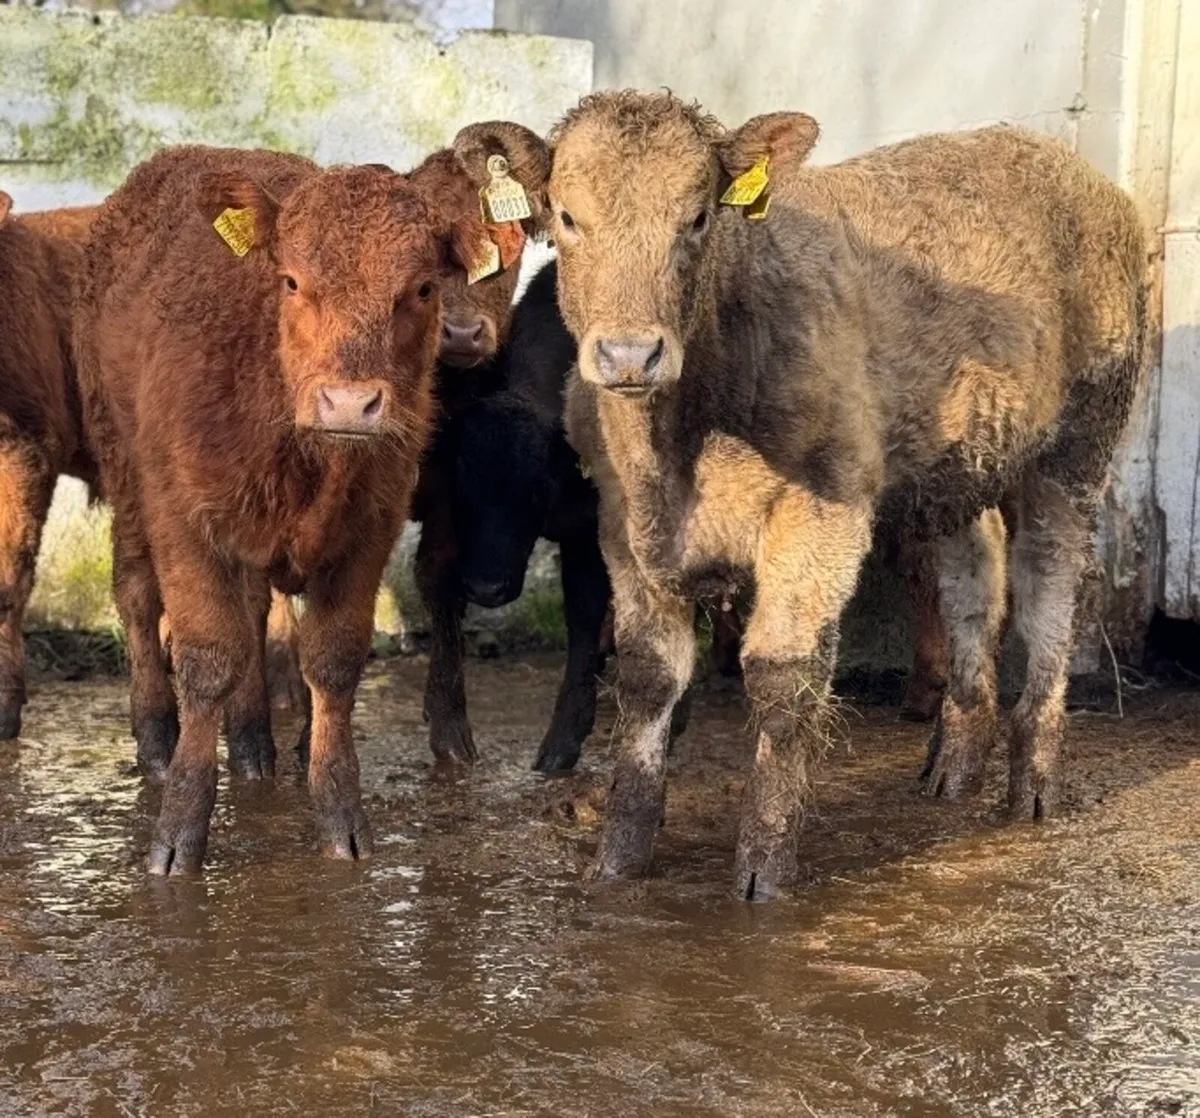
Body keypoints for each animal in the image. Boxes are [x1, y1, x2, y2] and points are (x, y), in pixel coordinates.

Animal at [74, 145, 490, 873]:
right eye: (292, 282)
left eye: (422, 288)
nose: (350, 403)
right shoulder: (182, 518)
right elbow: (208, 658)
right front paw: (178, 832)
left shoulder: (372, 526)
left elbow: (332, 663)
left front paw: (338, 813)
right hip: (123, 473)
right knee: (137, 598)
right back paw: (155, 738)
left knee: (252, 612)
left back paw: (253, 745)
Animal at [476, 92, 1146, 899]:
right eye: (569, 217)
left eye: (698, 217)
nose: (630, 353)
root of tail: (1064, 161)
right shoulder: (621, 521)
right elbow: (645, 677)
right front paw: (617, 860)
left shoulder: (824, 507)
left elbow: (781, 672)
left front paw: (763, 869)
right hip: (958, 461)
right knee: (972, 580)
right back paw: (954, 763)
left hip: (1079, 438)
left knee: (1050, 583)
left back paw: (1033, 784)